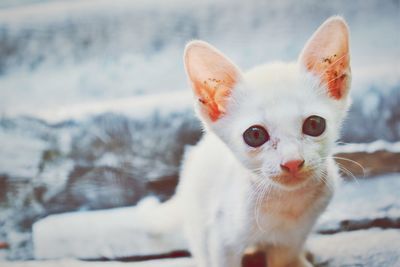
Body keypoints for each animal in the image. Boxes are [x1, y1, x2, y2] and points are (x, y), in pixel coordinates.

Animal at [172, 16, 350, 267]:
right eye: (255, 135)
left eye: (315, 125)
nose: (292, 162)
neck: (288, 205)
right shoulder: (221, 238)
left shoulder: (291, 240)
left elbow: (287, 258)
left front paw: (299, 259)